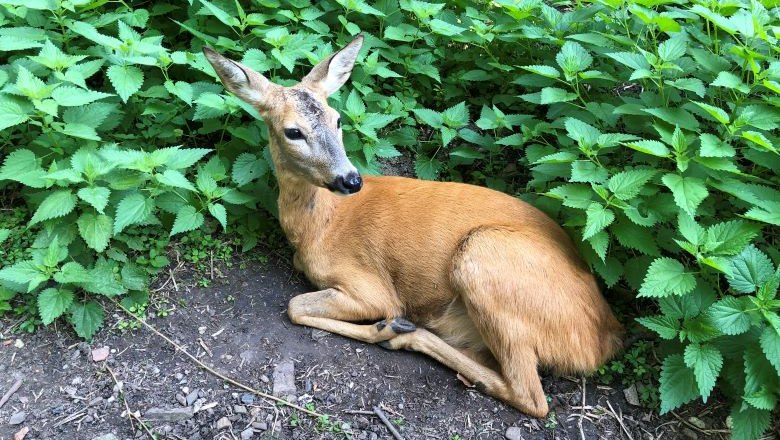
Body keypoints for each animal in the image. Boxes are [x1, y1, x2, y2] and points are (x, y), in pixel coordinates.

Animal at [204, 35, 624, 420]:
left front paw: (383, 325)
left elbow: (294, 306)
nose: (350, 179)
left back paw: (398, 333)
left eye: (337, 120)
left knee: (532, 396)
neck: (320, 225)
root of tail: (605, 335)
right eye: (293, 132)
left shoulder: (368, 286)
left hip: (482, 256)